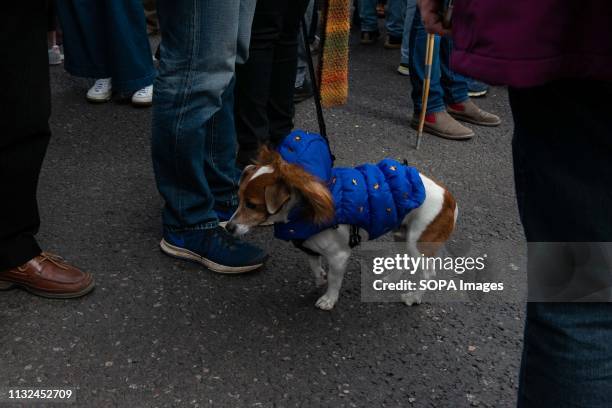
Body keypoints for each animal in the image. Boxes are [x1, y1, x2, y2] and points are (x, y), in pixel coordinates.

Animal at [227, 148, 456, 310]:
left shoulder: (339, 256)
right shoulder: (310, 246)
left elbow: (335, 280)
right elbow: (314, 265)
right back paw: (390, 280)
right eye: (238, 199)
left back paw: (413, 297)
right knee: (404, 259)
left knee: (428, 273)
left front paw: (329, 299)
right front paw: (320, 277)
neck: (303, 205)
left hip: (419, 244)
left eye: (252, 205)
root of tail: (448, 197)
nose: (229, 227)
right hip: (403, 235)